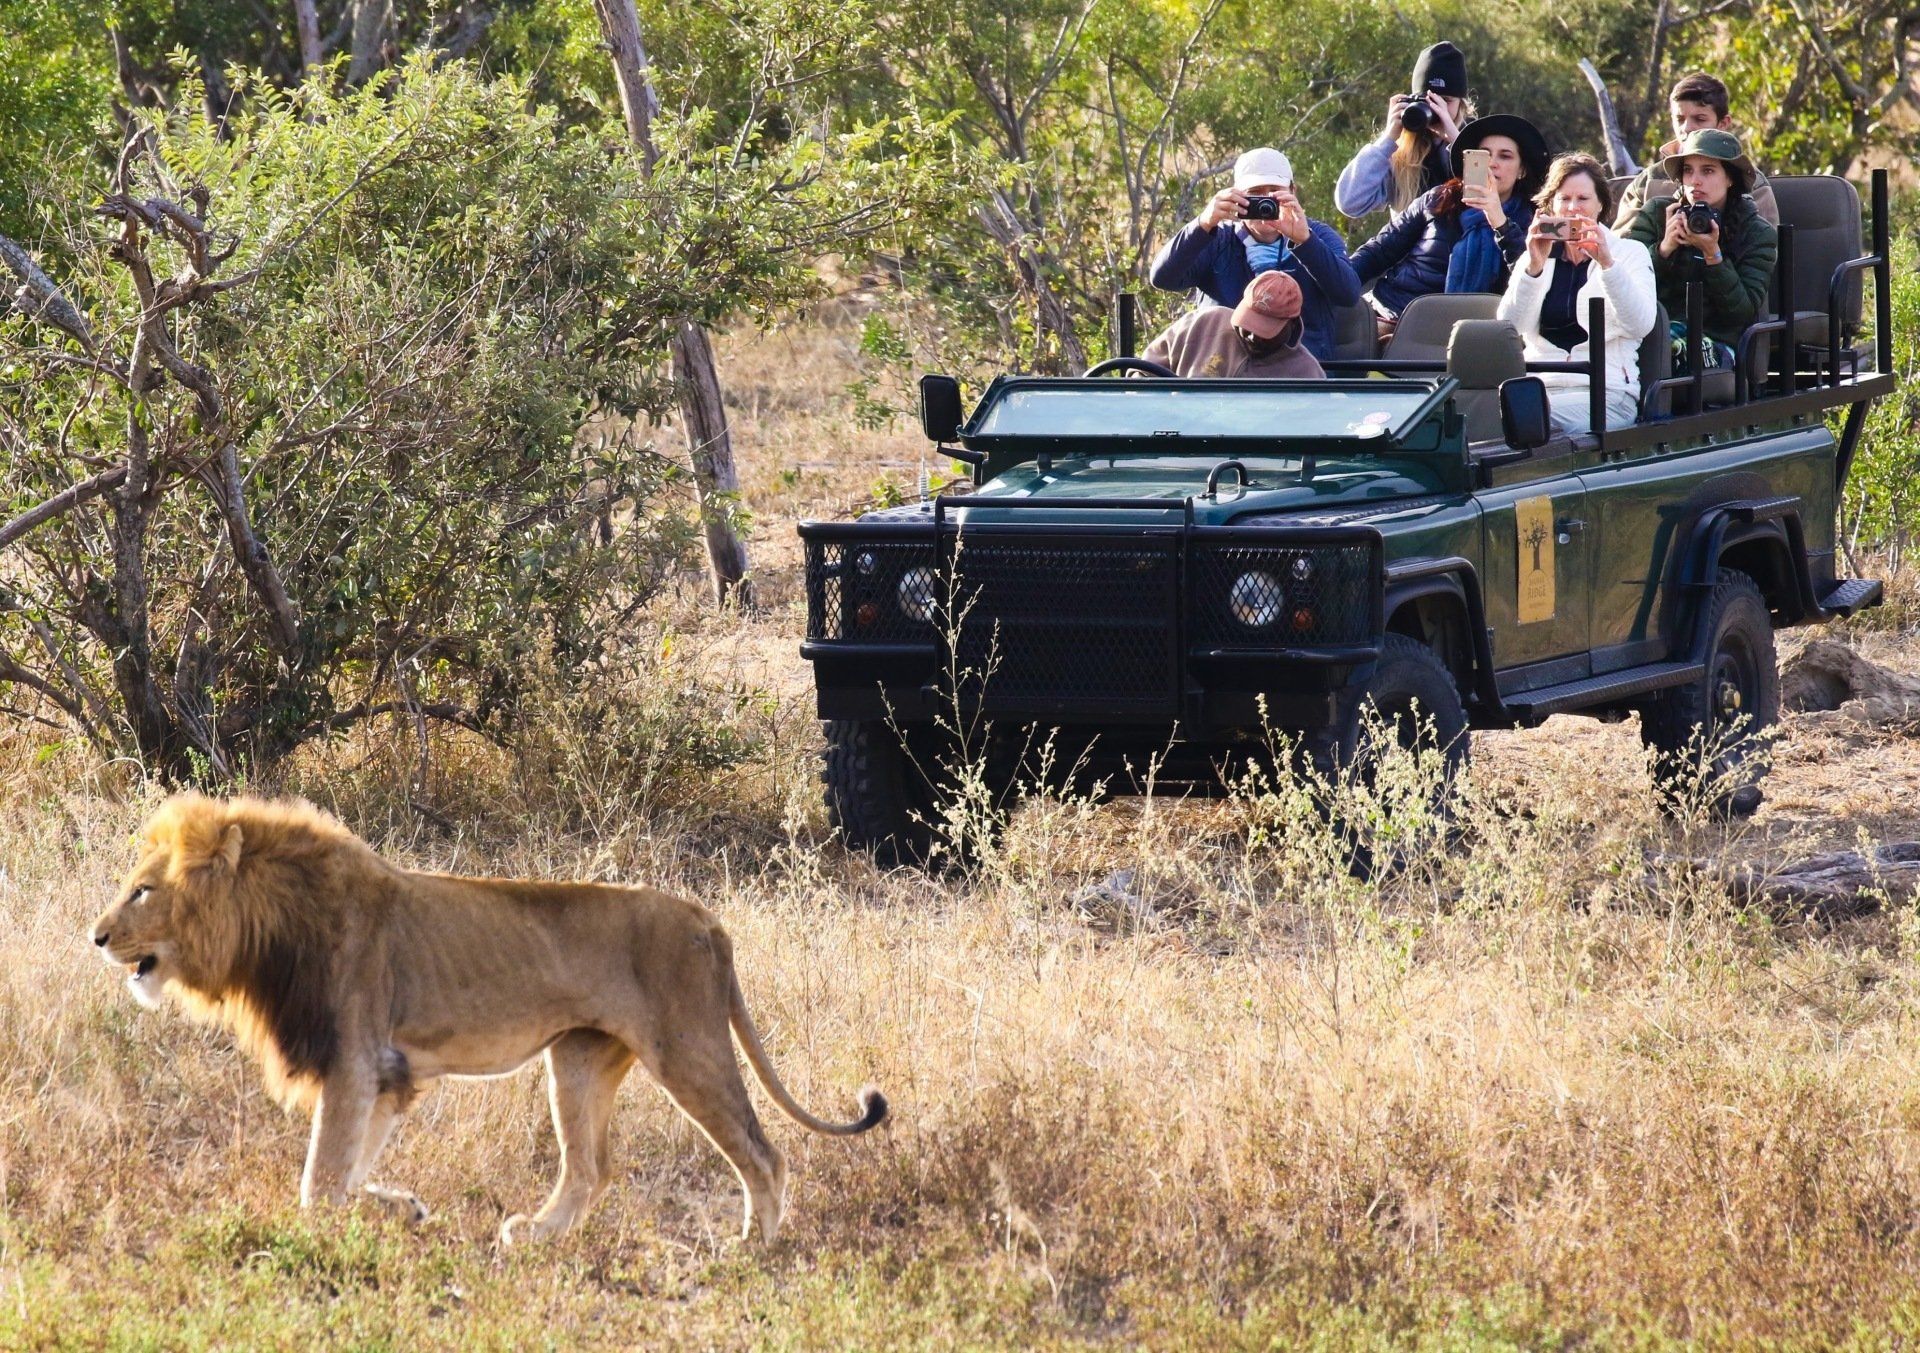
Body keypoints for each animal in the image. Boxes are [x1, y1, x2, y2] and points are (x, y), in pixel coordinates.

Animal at [87, 793, 886, 1244]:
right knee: (591, 1169)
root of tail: (708, 920)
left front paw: (343, 1224)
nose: (95, 937)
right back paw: (534, 1235)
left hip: (687, 1048)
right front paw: (404, 1208)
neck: (268, 928)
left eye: (143, 891)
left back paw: (755, 1248)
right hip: (577, 1058)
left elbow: (320, 1183)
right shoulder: (386, 1076)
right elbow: (346, 1175)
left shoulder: (353, 1061)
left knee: (762, 1152)